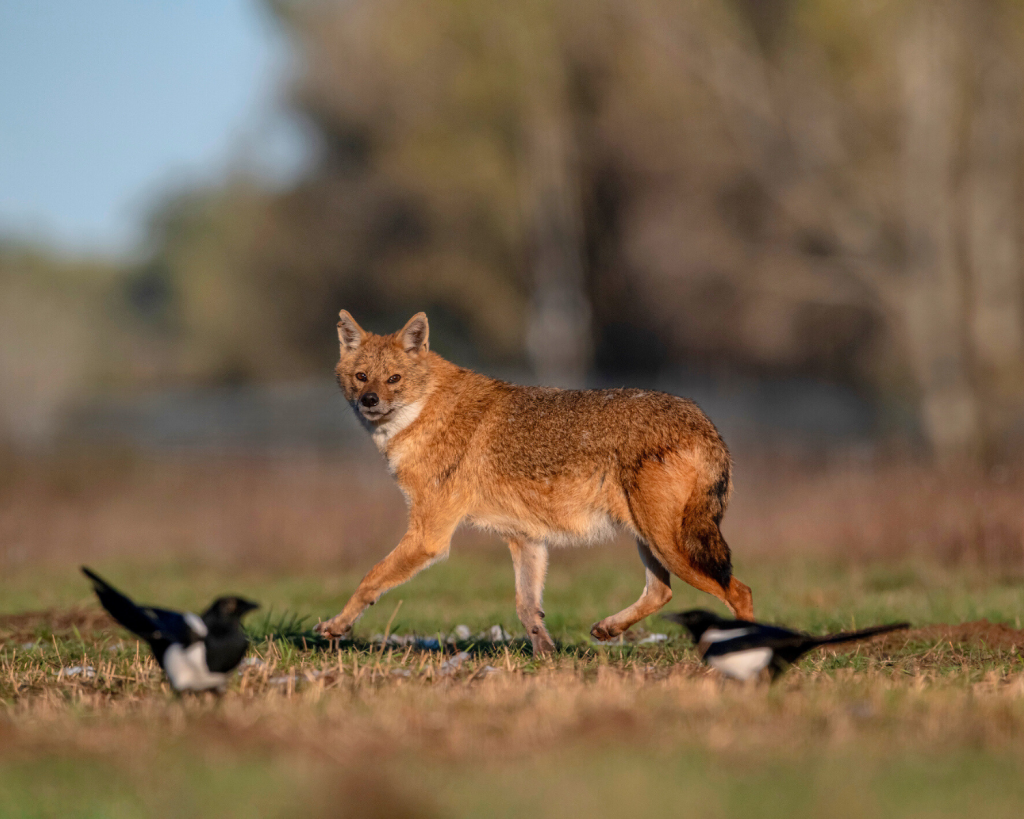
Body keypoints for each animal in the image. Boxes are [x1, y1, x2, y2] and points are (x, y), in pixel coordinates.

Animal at [314, 310, 754, 654]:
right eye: (361, 377)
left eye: (394, 379)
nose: (369, 401)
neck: (427, 415)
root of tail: (706, 425)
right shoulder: (526, 538)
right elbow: (527, 608)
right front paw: (545, 656)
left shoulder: (429, 538)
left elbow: (369, 580)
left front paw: (336, 626)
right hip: (651, 543)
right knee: (662, 592)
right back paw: (608, 628)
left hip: (673, 547)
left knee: (739, 592)